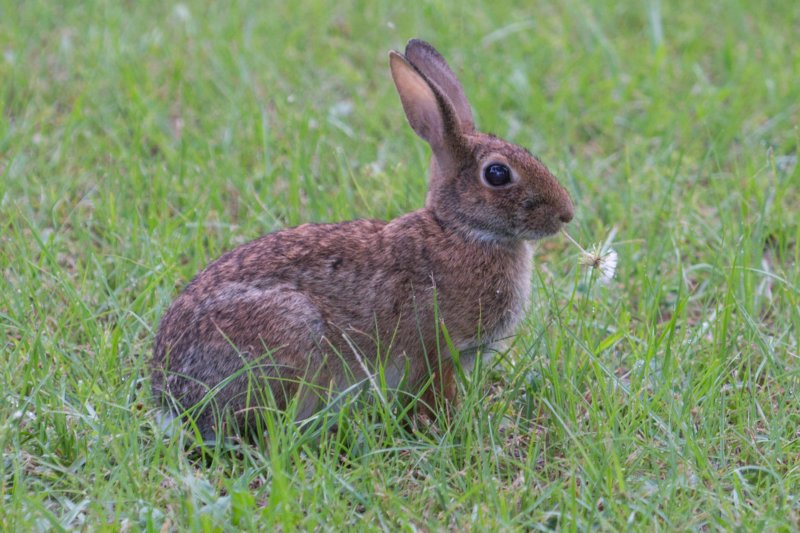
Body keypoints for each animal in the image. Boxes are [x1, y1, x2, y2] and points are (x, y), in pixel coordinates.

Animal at [152, 37, 576, 436]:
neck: (458, 229)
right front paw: (448, 427)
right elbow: (436, 397)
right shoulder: (436, 351)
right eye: (498, 174)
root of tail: (172, 401)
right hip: (291, 333)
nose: (566, 214)